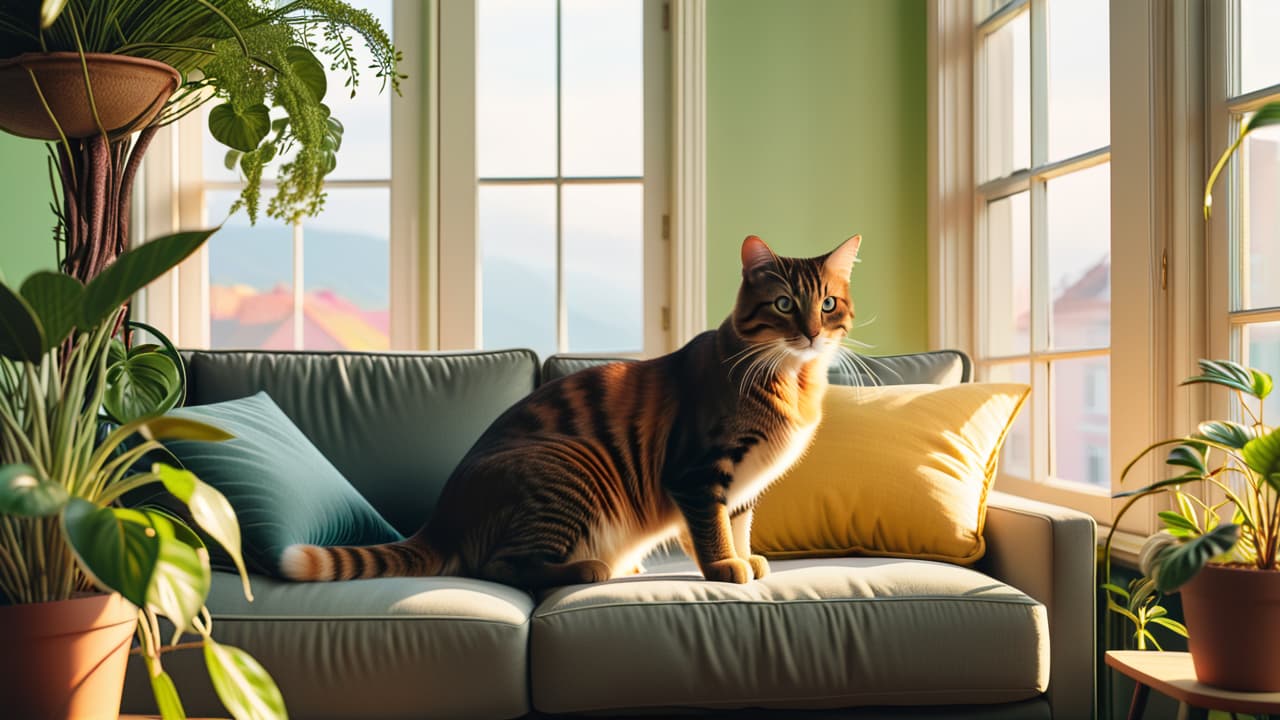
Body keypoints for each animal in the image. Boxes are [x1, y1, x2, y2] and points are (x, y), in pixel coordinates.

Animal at [280, 233, 860, 586]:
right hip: (573, 470)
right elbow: (710, 527)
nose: (811, 331)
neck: (793, 380)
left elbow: (735, 523)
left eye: (828, 303)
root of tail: (443, 517)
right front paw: (724, 566)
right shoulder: (698, 472)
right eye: (784, 304)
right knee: (498, 566)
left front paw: (744, 558)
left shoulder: (741, 487)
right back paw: (590, 569)